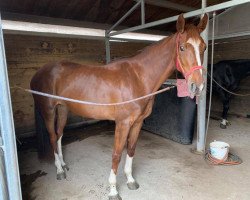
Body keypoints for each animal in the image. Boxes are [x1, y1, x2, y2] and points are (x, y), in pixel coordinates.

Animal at [30, 14, 207, 200]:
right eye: (182, 47)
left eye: (204, 47)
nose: (198, 86)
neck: (138, 78)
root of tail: (39, 73)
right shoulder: (122, 124)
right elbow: (116, 154)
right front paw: (113, 190)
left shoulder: (137, 123)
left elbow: (131, 149)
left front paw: (130, 180)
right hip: (49, 112)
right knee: (52, 137)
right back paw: (59, 170)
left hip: (63, 109)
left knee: (59, 136)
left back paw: (63, 164)